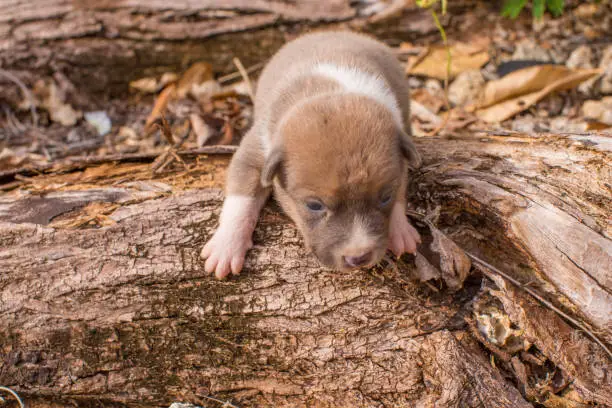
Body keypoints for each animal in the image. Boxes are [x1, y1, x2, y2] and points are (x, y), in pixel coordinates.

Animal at [201, 30, 420, 278]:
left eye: (385, 198)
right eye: (314, 205)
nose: (358, 257)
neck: (330, 92)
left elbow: (401, 190)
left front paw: (400, 229)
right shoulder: (255, 151)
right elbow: (241, 198)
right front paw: (227, 246)